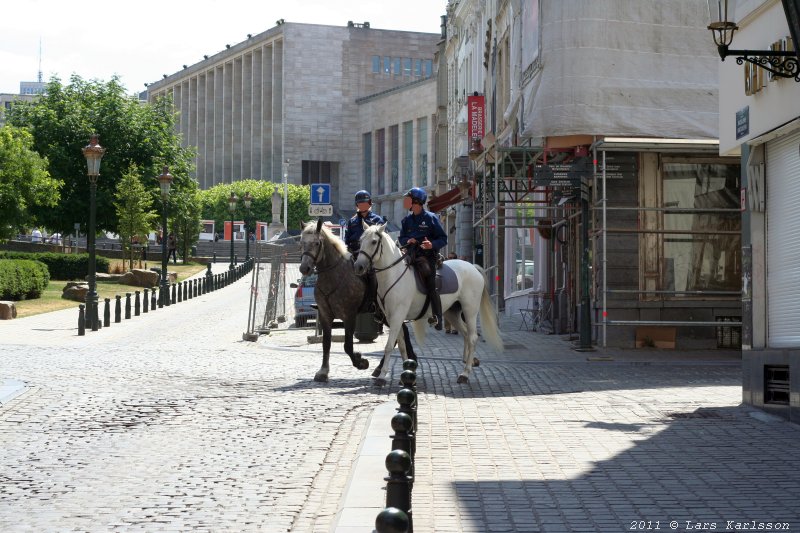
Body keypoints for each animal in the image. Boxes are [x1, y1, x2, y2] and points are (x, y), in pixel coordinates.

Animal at [296, 220, 416, 382]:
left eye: (316, 243)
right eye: (301, 243)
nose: (305, 268)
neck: (334, 275)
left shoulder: (349, 316)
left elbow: (347, 345)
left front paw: (361, 362)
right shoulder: (325, 315)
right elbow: (326, 343)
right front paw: (323, 371)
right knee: (401, 333)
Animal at [354, 220, 504, 382]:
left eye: (374, 241)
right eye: (360, 241)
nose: (358, 266)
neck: (393, 275)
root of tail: (473, 267)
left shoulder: (397, 316)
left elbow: (389, 346)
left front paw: (382, 376)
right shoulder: (391, 317)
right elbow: (401, 345)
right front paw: (405, 372)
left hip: (470, 310)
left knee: (472, 337)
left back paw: (465, 373)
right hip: (452, 312)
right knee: (465, 333)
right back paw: (467, 362)